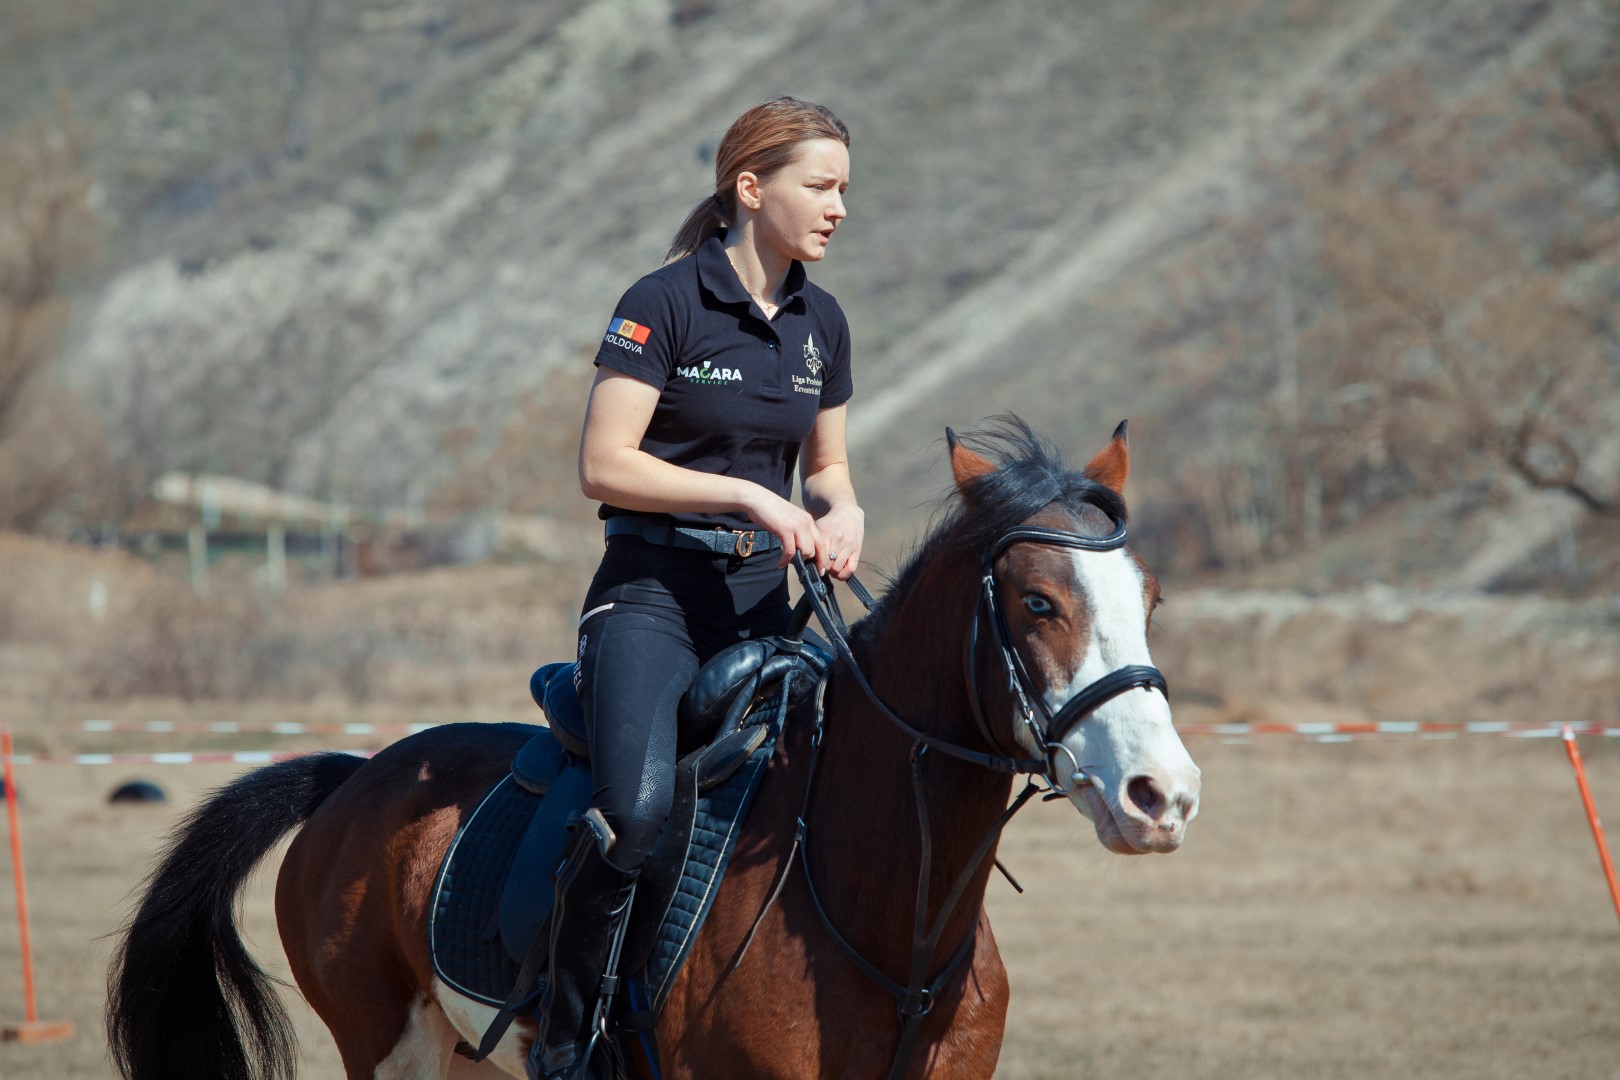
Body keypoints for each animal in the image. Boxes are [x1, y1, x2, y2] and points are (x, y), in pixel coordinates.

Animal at [107, 417, 1201, 1080]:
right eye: (1038, 601)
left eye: (1148, 598)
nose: (1162, 796)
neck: (891, 926)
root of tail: (350, 781)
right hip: (389, 1049)